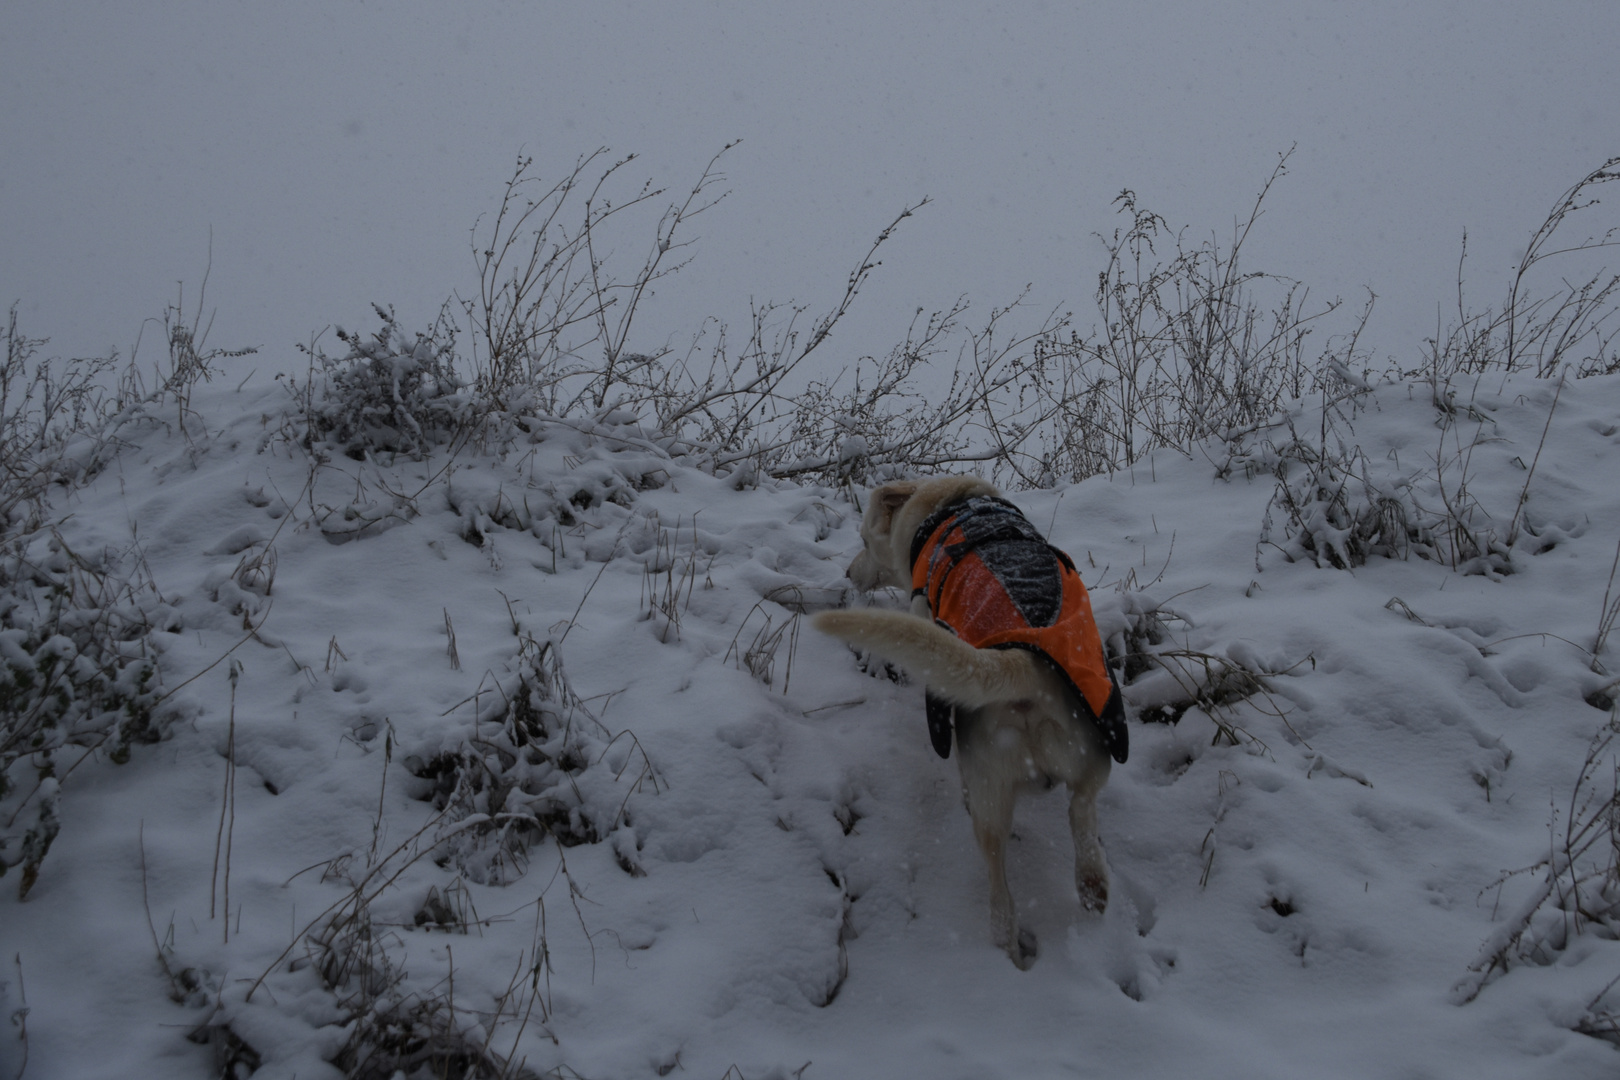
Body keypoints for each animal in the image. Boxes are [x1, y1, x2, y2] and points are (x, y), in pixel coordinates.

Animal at [810, 476, 1127, 965]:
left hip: (989, 795)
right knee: (1082, 809)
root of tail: (1023, 664)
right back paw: (1093, 885)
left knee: (1001, 895)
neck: (948, 505)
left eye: (864, 541)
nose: (847, 573)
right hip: (1094, 751)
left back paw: (1008, 946)